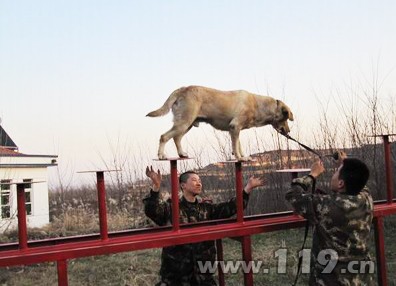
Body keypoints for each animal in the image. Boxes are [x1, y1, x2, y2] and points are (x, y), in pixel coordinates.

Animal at [147, 85, 292, 161]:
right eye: (285, 118)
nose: (289, 131)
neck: (259, 105)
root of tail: (182, 89)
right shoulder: (235, 126)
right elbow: (236, 147)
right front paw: (240, 158)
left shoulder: (235, 129)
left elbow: (238, 145)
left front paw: (243, 156)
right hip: (184, 122)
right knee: (164, 136)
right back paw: (161, 155)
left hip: (187, 124)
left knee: (176, 138)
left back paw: (182, 153)